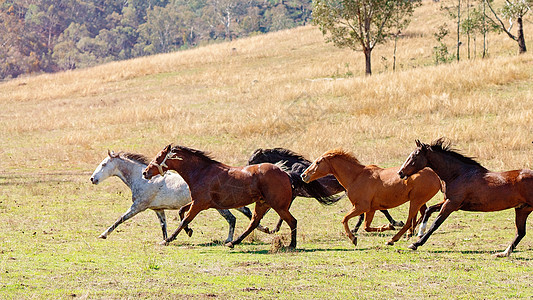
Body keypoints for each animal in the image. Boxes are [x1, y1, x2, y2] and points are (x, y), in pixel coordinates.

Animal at [91, 151, 262, 243]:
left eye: (104, 164)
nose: (93, 179)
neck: (143, 179)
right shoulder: (158, 210)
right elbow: (164, 226)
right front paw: (167, 239)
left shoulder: (138, 207)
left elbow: (120, 219)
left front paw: (103, 234)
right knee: (245, 213)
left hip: (220, 206)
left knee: (233, 218)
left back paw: (230, 239)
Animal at [141, 145, 298, 248]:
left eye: (158, 157)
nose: (145, 172)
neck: (201, 172)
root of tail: (284, 173)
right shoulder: (198, 202)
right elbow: (181, 212)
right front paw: (189, 231)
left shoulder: (199, 204)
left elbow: (184, 220)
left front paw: (168, 239)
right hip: (262, 203)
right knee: (253, 223)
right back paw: (233, 242)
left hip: (278, 206)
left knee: (292, 221)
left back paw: (292, 244)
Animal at [247, 148, 402, 232]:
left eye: (252, 160)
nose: (248, 170)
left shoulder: (291, 196)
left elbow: (277, 212)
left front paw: (272, 228)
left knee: (377, 211)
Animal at [300, 149, 440, 246]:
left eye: (318, 162)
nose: (303, 175)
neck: (356, 177)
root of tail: (436, 175)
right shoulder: (371, 209)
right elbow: (366, 227)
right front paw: (388, 226)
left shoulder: (361, 207)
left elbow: (345, 219)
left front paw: (353, 238)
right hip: (418, 201)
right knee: (422, 214)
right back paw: (412, 234)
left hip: (415, 201)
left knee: (409, 222)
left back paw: (393, 239)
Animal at [396, 139, 532, 256]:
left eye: (415, 156)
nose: (400, 173)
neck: (458, 174)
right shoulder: (449, 202)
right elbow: (429, 210)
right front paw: (420, 233)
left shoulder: (451, 204)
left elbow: (436, 223)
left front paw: (416, 244)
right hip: (522, 209)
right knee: (520, 233)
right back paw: (504, 253)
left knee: (520, 232)